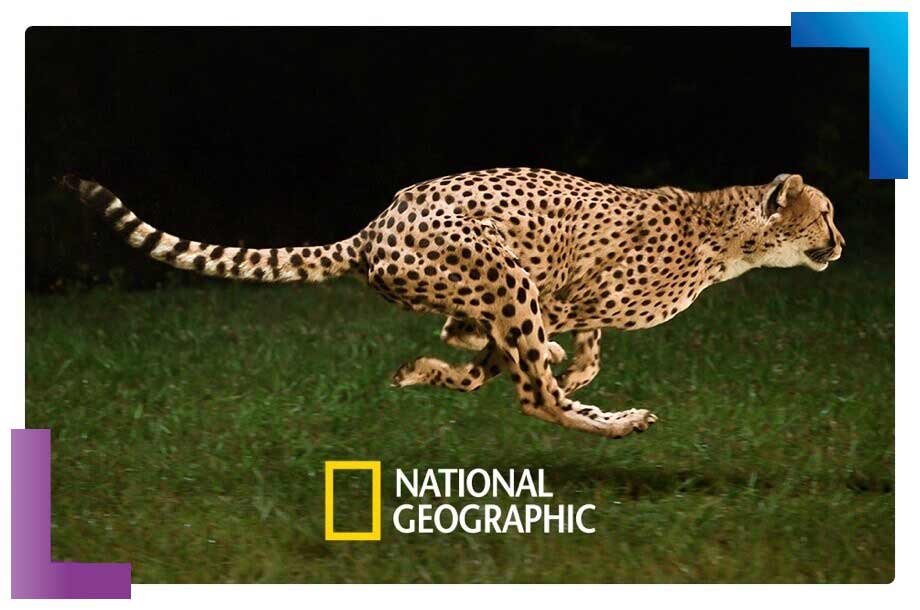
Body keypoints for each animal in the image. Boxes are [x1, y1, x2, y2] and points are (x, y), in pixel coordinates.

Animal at [61, 168, 844, 440]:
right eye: (826, 215)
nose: (840, 243)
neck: (728, 232)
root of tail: (374, 223)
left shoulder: (563, 302)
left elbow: (541, 351)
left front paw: (568, 363)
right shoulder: (557, 293)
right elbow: (539, 353)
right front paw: (571, 370)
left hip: (489, 283)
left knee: (491, 363)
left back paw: (424, 372)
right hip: (503, 272)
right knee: (532, 396)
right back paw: (617, 421)